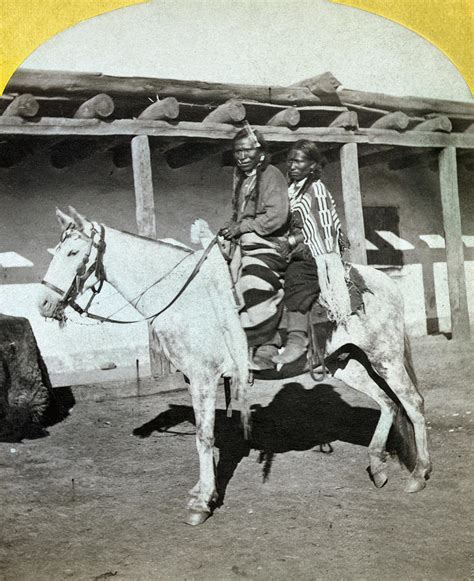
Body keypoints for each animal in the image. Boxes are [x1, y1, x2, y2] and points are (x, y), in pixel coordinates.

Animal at [39, 208, 432, 524]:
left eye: (73, 252)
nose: (43, 303)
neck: (187, 297)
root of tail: (381, 281)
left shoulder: (204, 378)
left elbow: (204, 437)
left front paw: (201, 503)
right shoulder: (193, 380)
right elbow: (206, 437)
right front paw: (203, 490)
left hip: (385, 356)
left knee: (412, 403)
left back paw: (419, 474)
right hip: (347, 364)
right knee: (387, 403)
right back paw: (378, 466)